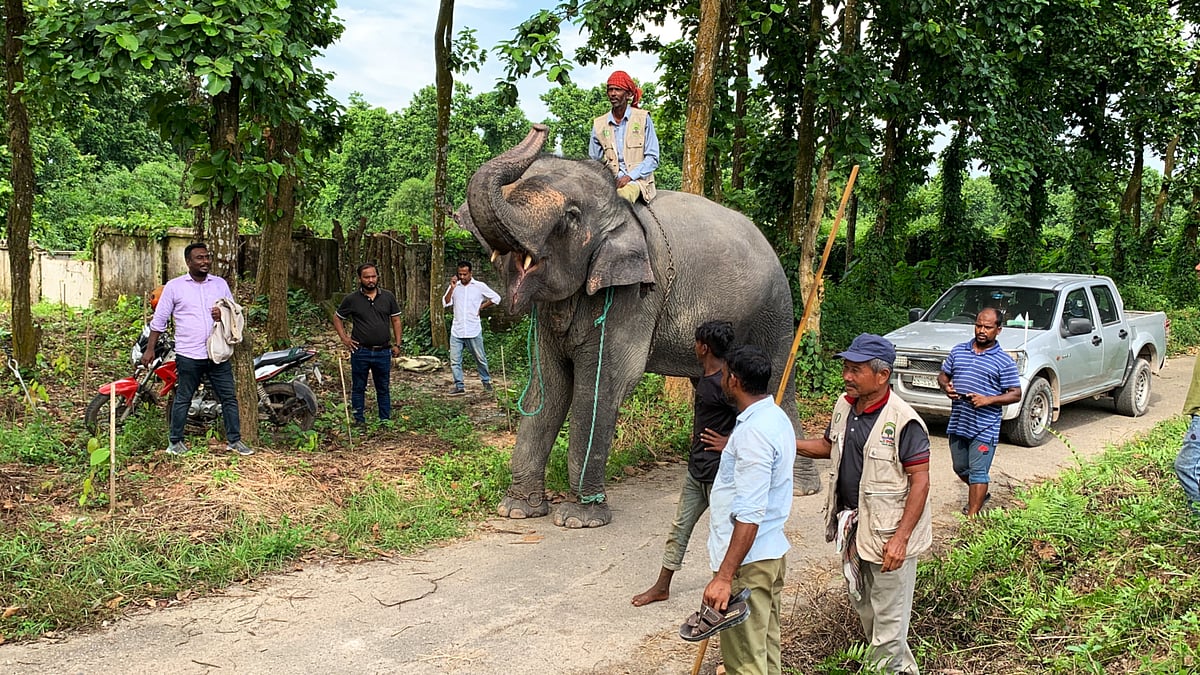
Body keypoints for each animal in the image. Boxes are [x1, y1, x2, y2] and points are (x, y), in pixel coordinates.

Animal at [460, 124, 822, 528]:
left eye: (571, 217)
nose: (540, 127)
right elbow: (548, 387)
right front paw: (516, 510)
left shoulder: (632, 296)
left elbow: (602, 386)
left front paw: (579, 519)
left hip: (773, 311)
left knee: (774, 384)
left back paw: (800, 488)